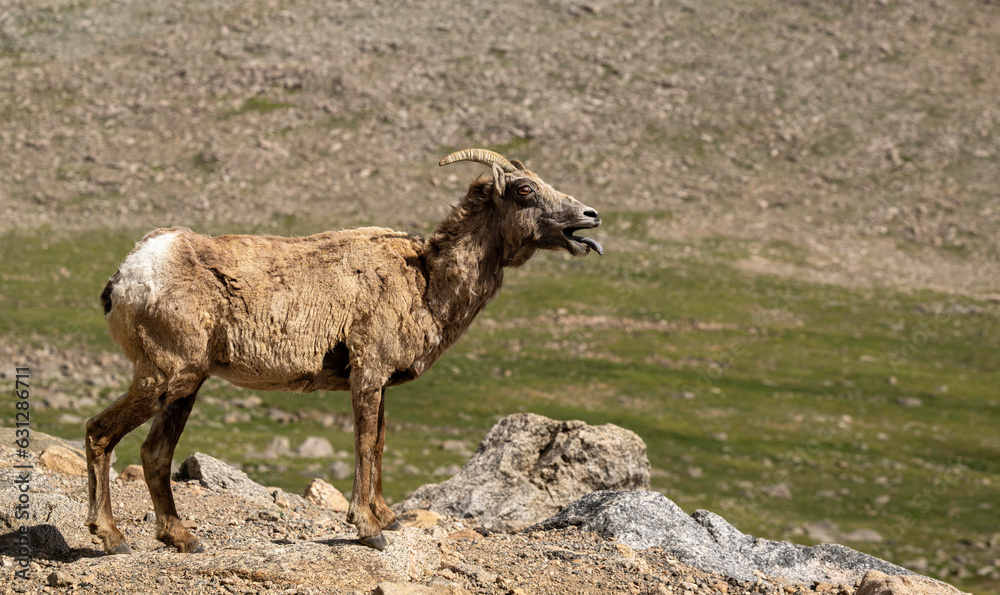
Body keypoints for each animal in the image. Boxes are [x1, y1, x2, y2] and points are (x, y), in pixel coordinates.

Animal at [86, 148, 603, 554]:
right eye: (524, 190)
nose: (591, 217)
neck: (426, 282)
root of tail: (127, 277)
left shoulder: (380, 385)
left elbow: (377, 443)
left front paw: (387, 516)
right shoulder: (367, 374)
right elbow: (362, 444)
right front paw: (369, 530)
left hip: (186, 386)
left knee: (154, 453)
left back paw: (183, 539)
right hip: (164, 376)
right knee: (100, 432)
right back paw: (111, 538)